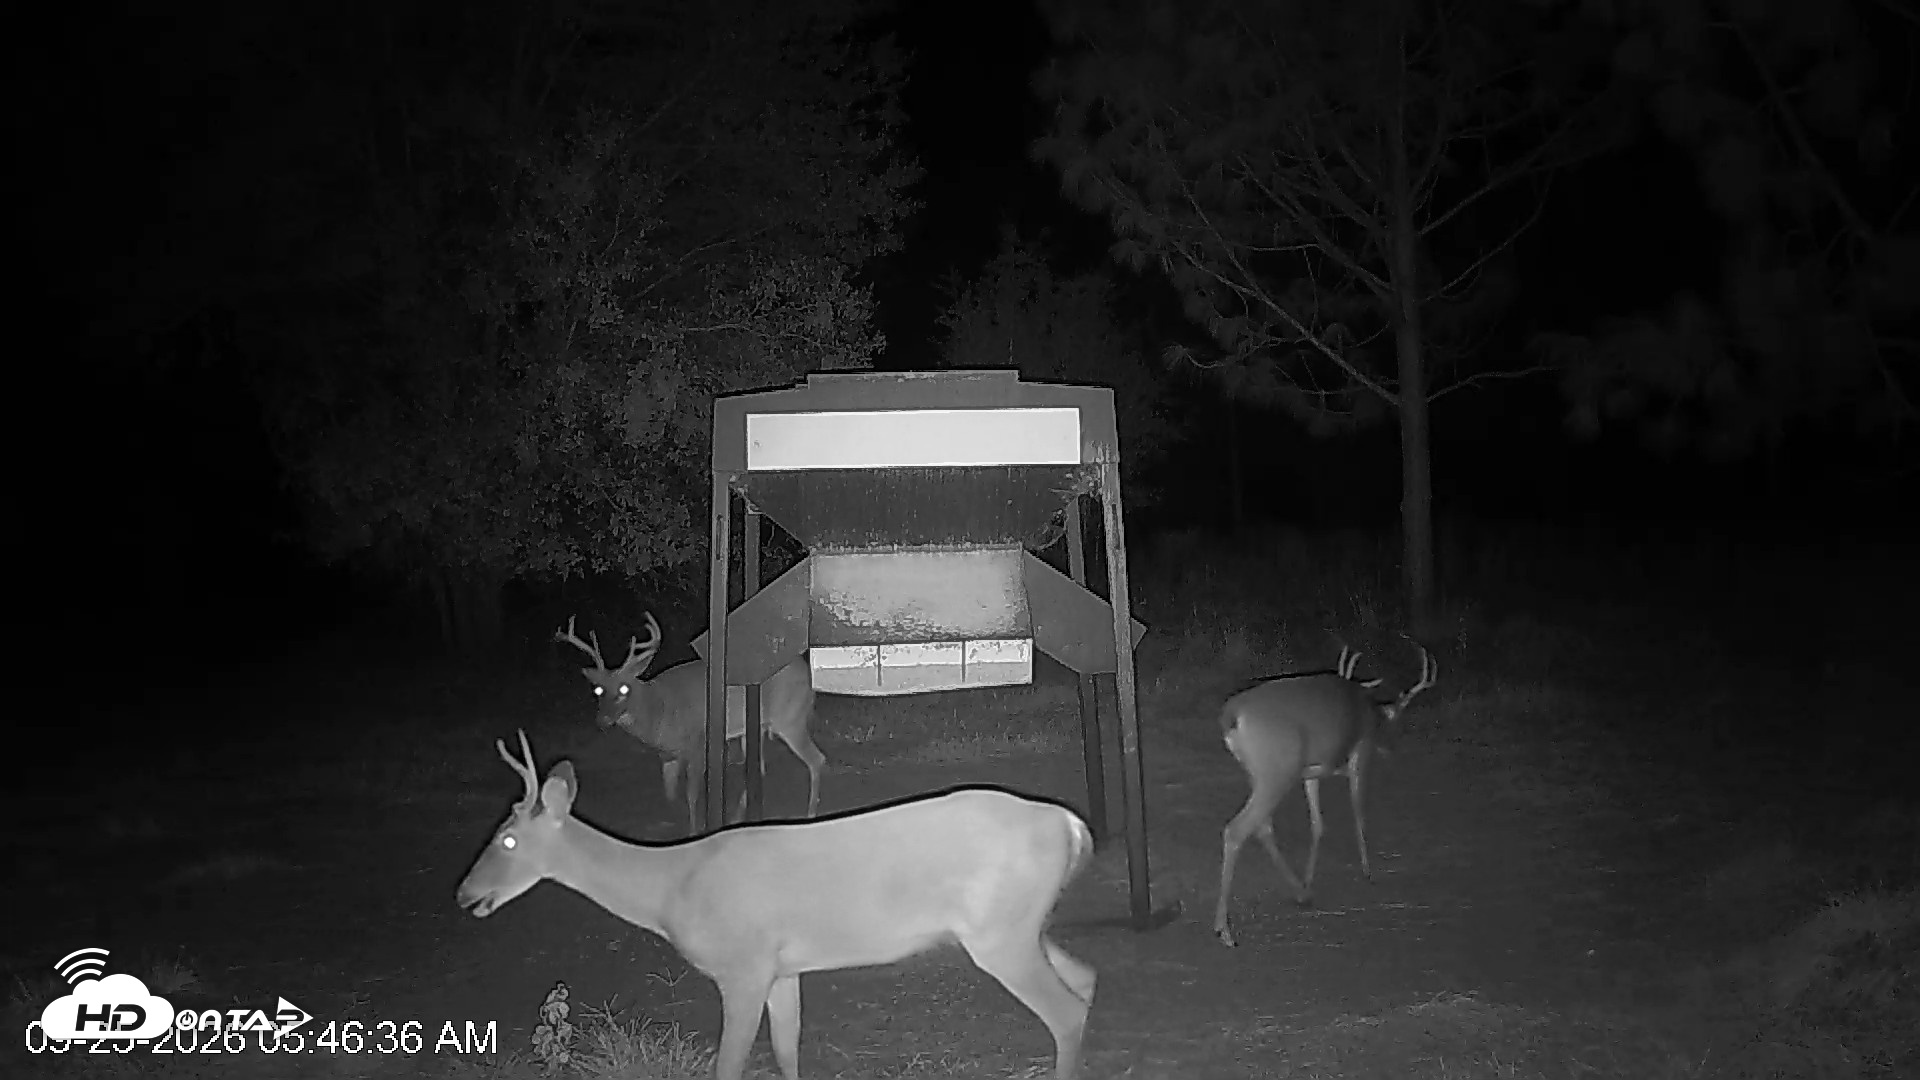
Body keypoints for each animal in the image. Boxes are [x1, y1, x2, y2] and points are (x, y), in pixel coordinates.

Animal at [457, 731, 1097, 1080]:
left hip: (1000, 934)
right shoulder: (782, 968)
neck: (670, 887)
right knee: (1085, 980)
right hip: (1018, 926)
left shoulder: (741, 966)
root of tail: (1069, 825)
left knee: (1065, 1010)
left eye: (507, 839)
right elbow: (788, 1052)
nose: (465, 893)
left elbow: (729, 1064)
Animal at [556, 613, 826, 832]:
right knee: (758, 767)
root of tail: (808, 674)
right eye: (598, 690)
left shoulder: (697, 743)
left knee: (816, 760)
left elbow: (692, 794)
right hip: (757, 728)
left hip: (790, 719)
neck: (660, 709)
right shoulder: (668, 755)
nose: (602, 720)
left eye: (624, 688)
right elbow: (669, 793)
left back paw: (810, 814)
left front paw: (696, 830)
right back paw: (739, 818)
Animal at [1212, 644, 1438, 946]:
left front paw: (1310, 878)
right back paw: (1224, 929)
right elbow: (1358, 812)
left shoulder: (1313, 773)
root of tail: (1232, 716)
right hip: (1277, 772)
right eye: (1399, 720)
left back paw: (1301, 892)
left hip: (1260, 774)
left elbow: (1318, 824)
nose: (1391, 749)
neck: (1368, 709)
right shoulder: (1360, 752)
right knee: (1237, 830)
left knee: (1262, 827)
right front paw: (1368, 870)